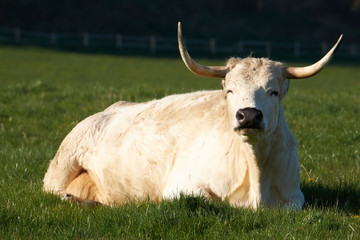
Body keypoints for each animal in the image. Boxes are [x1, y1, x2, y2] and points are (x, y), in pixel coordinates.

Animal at [43, 23, 342, 210]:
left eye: (274, 92)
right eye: (229, 90)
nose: (248, 115)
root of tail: (111, 108)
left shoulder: (294, 197)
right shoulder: (180, 187)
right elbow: (208, 200)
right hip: (61, 166)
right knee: (52, 192)